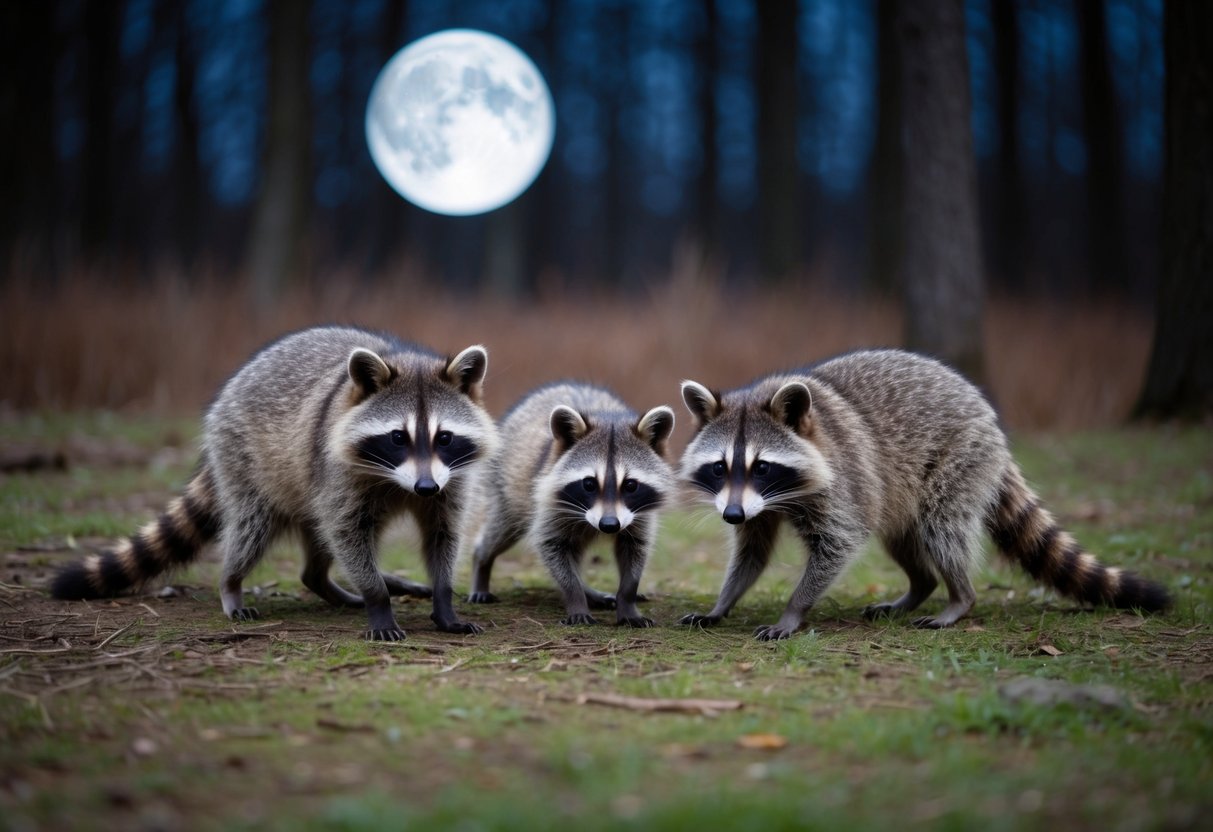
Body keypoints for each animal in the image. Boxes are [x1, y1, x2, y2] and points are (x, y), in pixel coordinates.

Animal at [51, 325, 499, 641]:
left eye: (444, 437)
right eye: (397, 438)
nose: (424, 488)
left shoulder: (450, 480)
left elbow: (443, 534)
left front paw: (443, 600)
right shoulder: (339, 472)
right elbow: (347, 532)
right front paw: (378, 599)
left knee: (321, 542)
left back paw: (325, 582)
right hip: (245, 459)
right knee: (254, 528)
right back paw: (232, 583)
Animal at [467, 383, 676, 627]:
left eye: (631, 485)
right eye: (589, 484)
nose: (609, 525)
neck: (608, 419)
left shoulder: (640, 514)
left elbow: (635, 549)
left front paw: (627, 602)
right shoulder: (549, 503)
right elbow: (553, 548)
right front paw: (576, 597)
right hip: (506, 490)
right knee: (501, 530)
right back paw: (482, 561)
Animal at [678, 349, 1170, 640]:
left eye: (761, 467)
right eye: (720, 467)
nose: (731, 515)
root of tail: (988, 418)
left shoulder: (844, 481)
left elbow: (838, 543)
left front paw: (793, 610)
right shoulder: (752, 504)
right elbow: (753, 552)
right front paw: (724, 601)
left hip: (960, 459)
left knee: (942, 530)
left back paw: (959, 596)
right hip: (902, 493)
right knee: (903, 539)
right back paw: (922, 585)